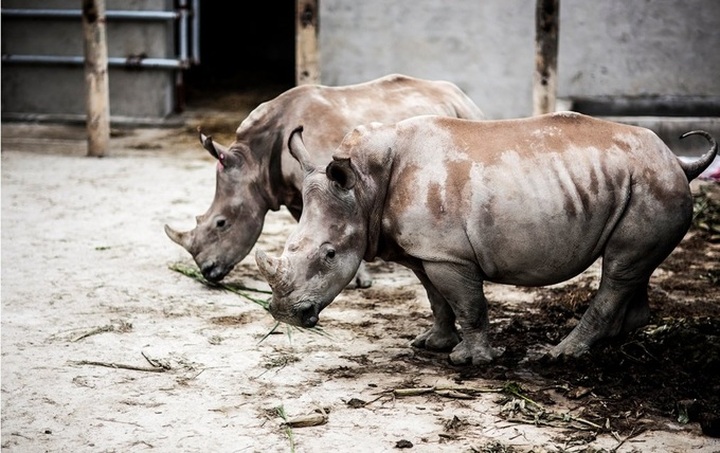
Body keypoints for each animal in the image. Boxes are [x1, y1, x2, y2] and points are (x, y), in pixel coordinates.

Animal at [164, 74, 484, 285]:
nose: (208, 273)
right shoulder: (294, 191)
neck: (255, 162)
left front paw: (359, 281)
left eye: (222, 224)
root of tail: (459, 93)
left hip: (468, 116)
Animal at [255, 112, 718, 365]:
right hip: (640, 182)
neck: (364, 187)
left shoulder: (448, 254)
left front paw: (470, 360)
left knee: (619, 269)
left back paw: (561, 354)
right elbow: (437, 299)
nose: (284, 314)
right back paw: (619, 338)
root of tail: (677, 160)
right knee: (631, 265)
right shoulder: (425, 251)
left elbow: (468, 303)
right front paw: (432, 344)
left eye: (330, 255)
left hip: (652, 182)